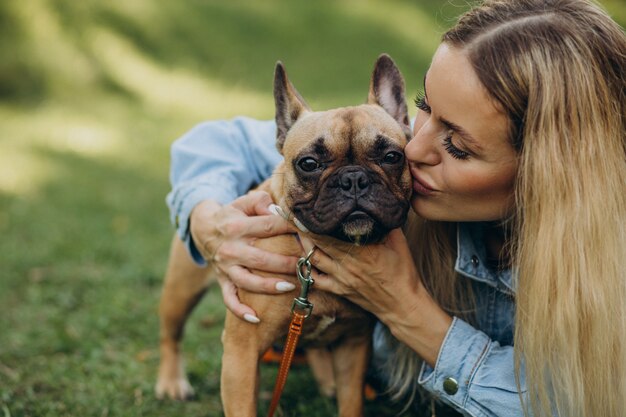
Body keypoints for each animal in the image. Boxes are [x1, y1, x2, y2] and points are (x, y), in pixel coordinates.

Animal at [156, 55, 412, 416]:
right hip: (182, 288)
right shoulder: (242, 350)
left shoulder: (354, 345)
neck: (315, 251)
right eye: (309, 163)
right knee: (171, 333)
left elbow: (351, 402)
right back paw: (171, 382)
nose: (354, 179)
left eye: (392, 157)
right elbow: (244, 407)